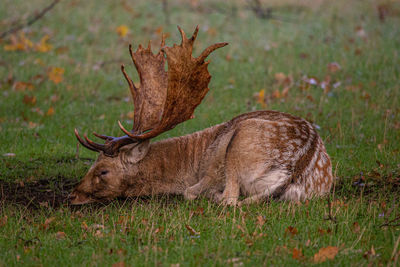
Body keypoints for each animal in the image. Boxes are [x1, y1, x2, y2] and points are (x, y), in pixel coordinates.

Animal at [69, 26, 334, 206]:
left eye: (103, 171)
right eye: (92, 164)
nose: (73, 195)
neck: (192, 163)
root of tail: (296, 168)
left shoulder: (211, 170)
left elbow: (192, 191)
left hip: (240, 143)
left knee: (229, 199)